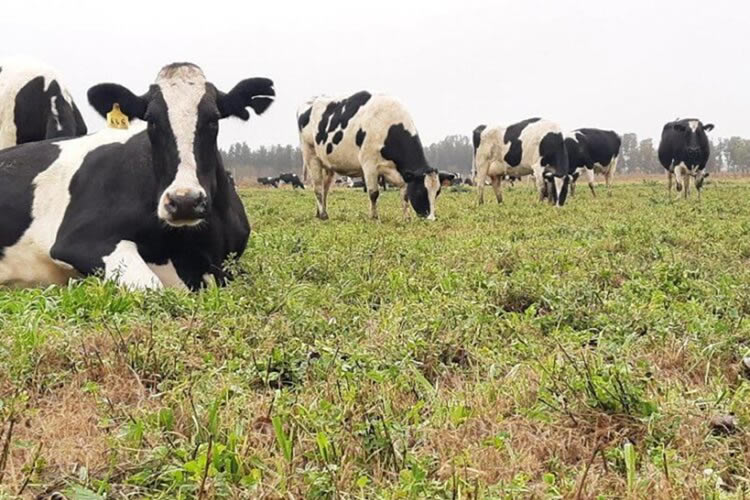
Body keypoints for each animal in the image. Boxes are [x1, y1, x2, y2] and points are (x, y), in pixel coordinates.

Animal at [297, 91, 441, 220]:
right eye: (421, 191)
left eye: (438, 192)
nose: (431, 218)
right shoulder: (369, 165)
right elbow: (374, 193)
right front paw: (374, 217)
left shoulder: (401, 173)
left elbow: (404, 194)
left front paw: (407, 218)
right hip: (311, 154)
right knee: (318, 187)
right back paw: (322, 215)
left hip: (328, 165)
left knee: (325, 188)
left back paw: (320, 212)